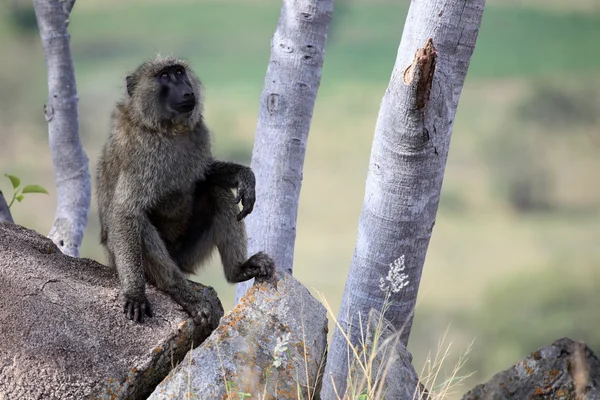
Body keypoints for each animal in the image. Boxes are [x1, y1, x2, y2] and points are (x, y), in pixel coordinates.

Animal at [96, 55, 276, 324]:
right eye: (165, 76)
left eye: (179, 72)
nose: (187, 91)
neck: (167, 129)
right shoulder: (140, 152)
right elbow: (125, 212)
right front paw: (135, 293)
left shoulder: (198, 134)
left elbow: (204, 174)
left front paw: (244, 177)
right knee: (141, 224)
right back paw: (182, 293)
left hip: (186, 255)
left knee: (216, 190)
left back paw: (238, 271)